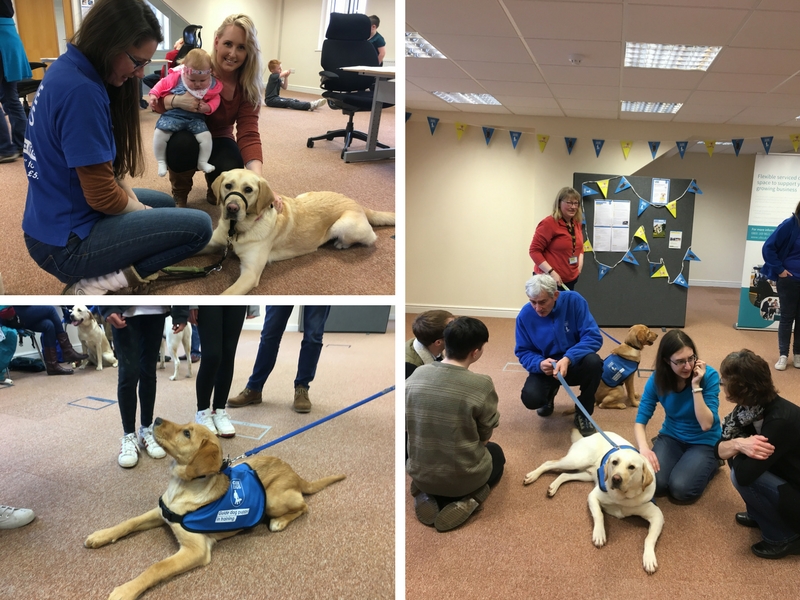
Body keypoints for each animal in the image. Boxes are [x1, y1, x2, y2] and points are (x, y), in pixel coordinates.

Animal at [86, 418, 346, 600]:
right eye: (185, 427)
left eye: (187, 433)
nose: (156, 419)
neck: (182, 487)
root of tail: (296, 474)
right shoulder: (162, 512)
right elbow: (129, 522)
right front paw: (101, 535)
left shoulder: (195, 550)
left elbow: (156, 567)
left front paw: (126, 590)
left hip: (273, 499)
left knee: (303, 506)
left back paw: (280, 522)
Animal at [196, 169, 394, 296]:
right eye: (228, 186)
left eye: (248, 190)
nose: (232, 208)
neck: (237, 230)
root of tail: (357, 203)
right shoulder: (211, 242)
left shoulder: (250, 273)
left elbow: (226, 294)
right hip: (303, 195)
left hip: (343, 225)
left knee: (370, 237)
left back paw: (341, 243)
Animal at [524, 428, 664, 576]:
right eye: (614, 462)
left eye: (631, 467)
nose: (615, 479)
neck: (622, 498)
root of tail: (590, 436)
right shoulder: (593, 496)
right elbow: (599, 515)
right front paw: (599, 534)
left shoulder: (657, 515)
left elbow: (649, 538)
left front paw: (649, 558)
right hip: (576, 461)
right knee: (549, 463)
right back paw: (532, 476)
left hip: (586, 475)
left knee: (564, 474)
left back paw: (553, 487)